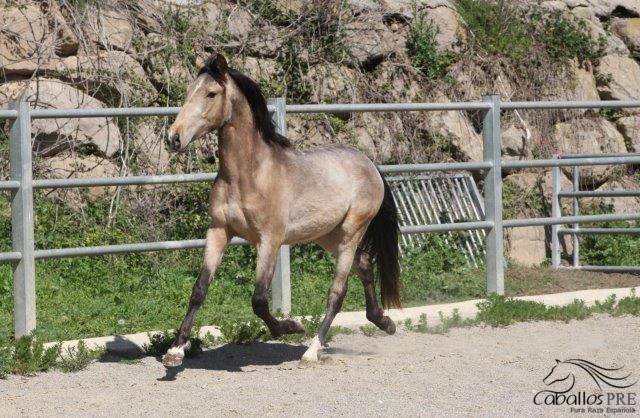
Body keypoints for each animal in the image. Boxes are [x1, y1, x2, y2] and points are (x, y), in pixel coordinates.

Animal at [160, 53, 400, 370]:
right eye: (189, 91)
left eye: (211, 93)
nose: (173, 138)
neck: (248, 175)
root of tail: (370, 165)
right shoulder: (219, 231)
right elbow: (199, 289)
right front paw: (175, 351)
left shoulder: (269, 240)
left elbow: (259, 299)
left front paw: (290, 327)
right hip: (327, 234)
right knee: (363, 263)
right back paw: (384, 321)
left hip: (351, 231)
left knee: (337, 293)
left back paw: (312, 350)